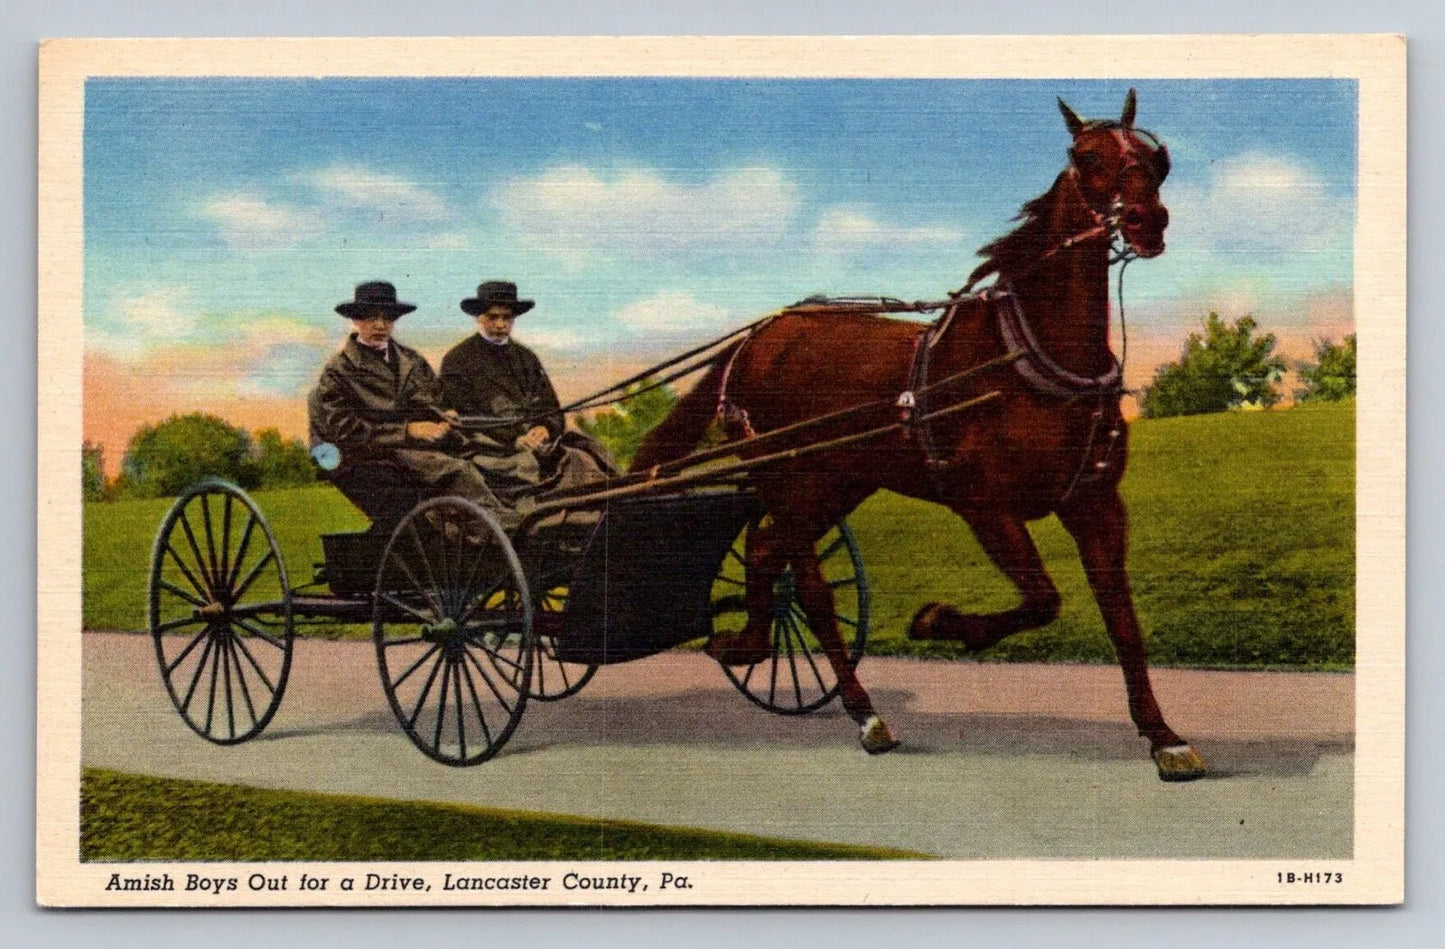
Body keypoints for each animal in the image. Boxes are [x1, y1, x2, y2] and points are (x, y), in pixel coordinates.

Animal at [632, 92, 1208, 780]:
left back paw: (754, 650)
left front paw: (1162, 735)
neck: (1025, 354)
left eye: (1156, 158)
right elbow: (1042, 599)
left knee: (770, 551)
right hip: (788, 479)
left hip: (836, 485)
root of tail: (759, 336)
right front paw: (941, 621)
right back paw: (859, 710)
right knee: (804, 580)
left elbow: (1122, 620)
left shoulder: (1095, 503)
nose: (1148, 221)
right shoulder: (983, 504)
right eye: (1087, 156)